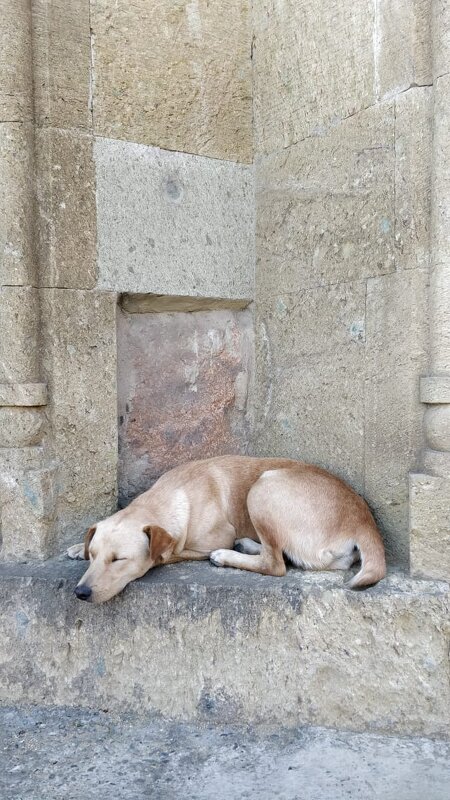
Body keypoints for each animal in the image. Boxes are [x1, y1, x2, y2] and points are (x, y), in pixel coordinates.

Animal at [68, 454, 384, 604]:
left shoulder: (202, 542)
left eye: (119, 560)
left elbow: (170, 553)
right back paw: (247, 544)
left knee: (275, 563)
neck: (174, 494)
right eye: (94, 555)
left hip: (263, 487)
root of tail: (363, 520)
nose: (80, 592)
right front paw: (77, 548)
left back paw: (228, 555)